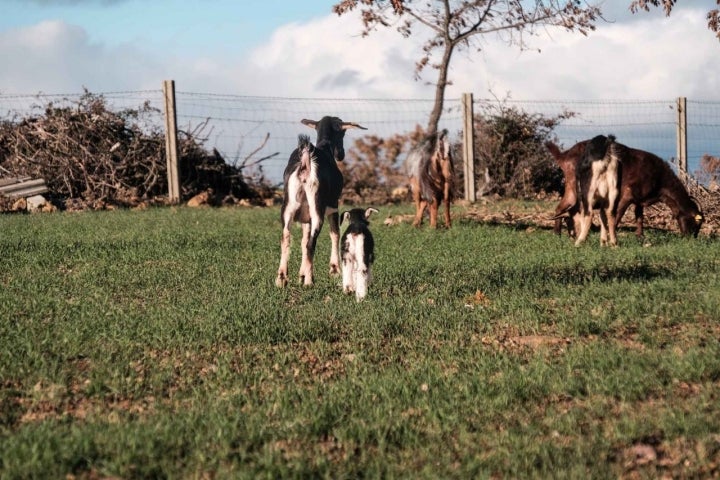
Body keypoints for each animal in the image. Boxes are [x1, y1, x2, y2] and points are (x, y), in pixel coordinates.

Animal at [274, 116, 368, 288]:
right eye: (343, 133)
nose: (341, 155)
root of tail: (306, 162)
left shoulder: (305, 218)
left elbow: (303, 240)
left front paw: (301, 275)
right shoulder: (333, 207)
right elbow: (335, 233)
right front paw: (334, 270)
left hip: (288, 208)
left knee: (286, 238)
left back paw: (282, 278)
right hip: (317, 208)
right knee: (311, 242)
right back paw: (309, 281)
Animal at [544, 136, 704, 239]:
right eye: (697, 222)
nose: (691, 238)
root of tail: (564, 155)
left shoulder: (640, 199)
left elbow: (639, 216)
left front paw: (640, 237)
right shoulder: (627, 194)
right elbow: (618, 215)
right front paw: (610, 234)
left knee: (563, 208)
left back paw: (562, 233)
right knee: (564, 207)